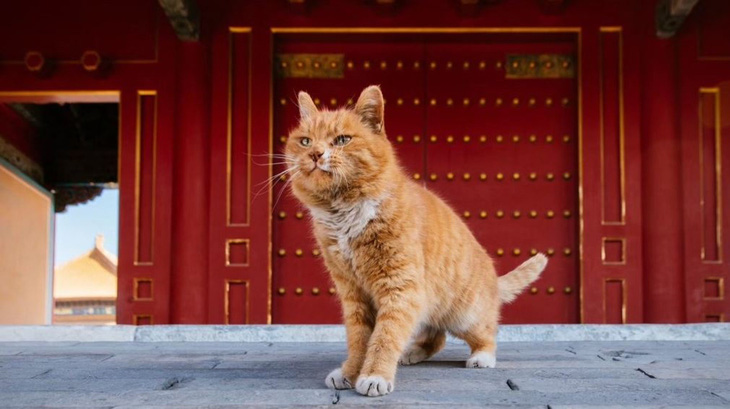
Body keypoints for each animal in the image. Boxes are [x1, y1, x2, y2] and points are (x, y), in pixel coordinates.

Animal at [284, 84, 544, 394]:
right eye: (305, 141)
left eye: (342, 140)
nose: (315, 154)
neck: (343, 213)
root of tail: (493, 279)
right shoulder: (352, 293)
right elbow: (359, 339)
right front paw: (350, 372)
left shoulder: (399, 287)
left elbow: (385, 336)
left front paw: (374, 375)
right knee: (436, 337)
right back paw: (412, 353)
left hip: (464, 314)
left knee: (486, 333)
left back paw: (481, 357)